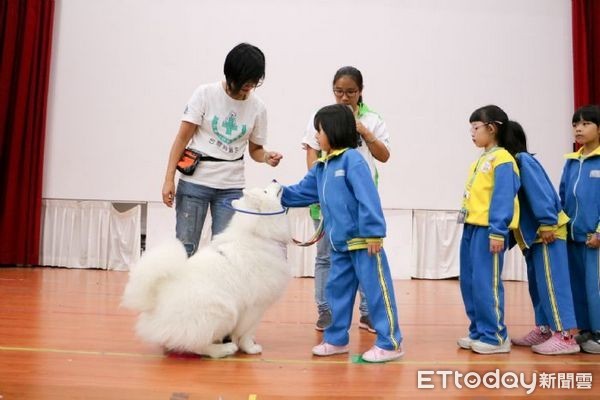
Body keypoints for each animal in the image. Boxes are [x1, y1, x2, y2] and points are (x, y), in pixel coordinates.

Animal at [121, 181, 290, 360]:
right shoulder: (256, 307)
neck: (258, 234)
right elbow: (247, 332)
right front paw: (250, 348)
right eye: (265, 191)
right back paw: (223, 349)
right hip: (224, 312)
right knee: (197, 345)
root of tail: (154, 302)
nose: (274, 180)